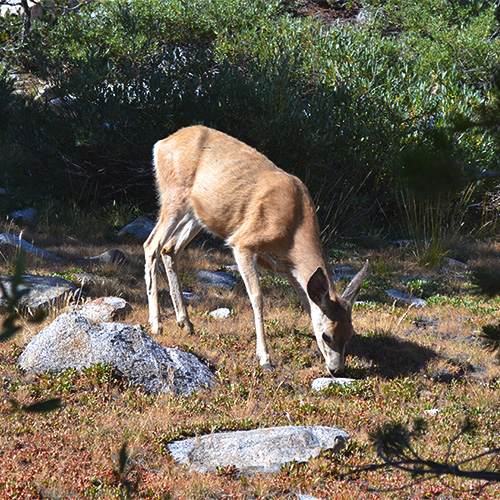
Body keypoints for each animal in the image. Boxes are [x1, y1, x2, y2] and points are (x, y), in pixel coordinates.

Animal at [145, 125, 368, 376]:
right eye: (327, 335)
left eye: (350, 334)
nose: (337, 370)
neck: (293, 230)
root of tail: (161, 144)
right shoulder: (243, 242)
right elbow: (257, 297)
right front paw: (264, 357)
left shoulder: (289, 269)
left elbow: (307, 304)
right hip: (173, 197)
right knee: (151, 245)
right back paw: (156, 323)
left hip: (196, 215)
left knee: (169, 249)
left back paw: (186, 323)